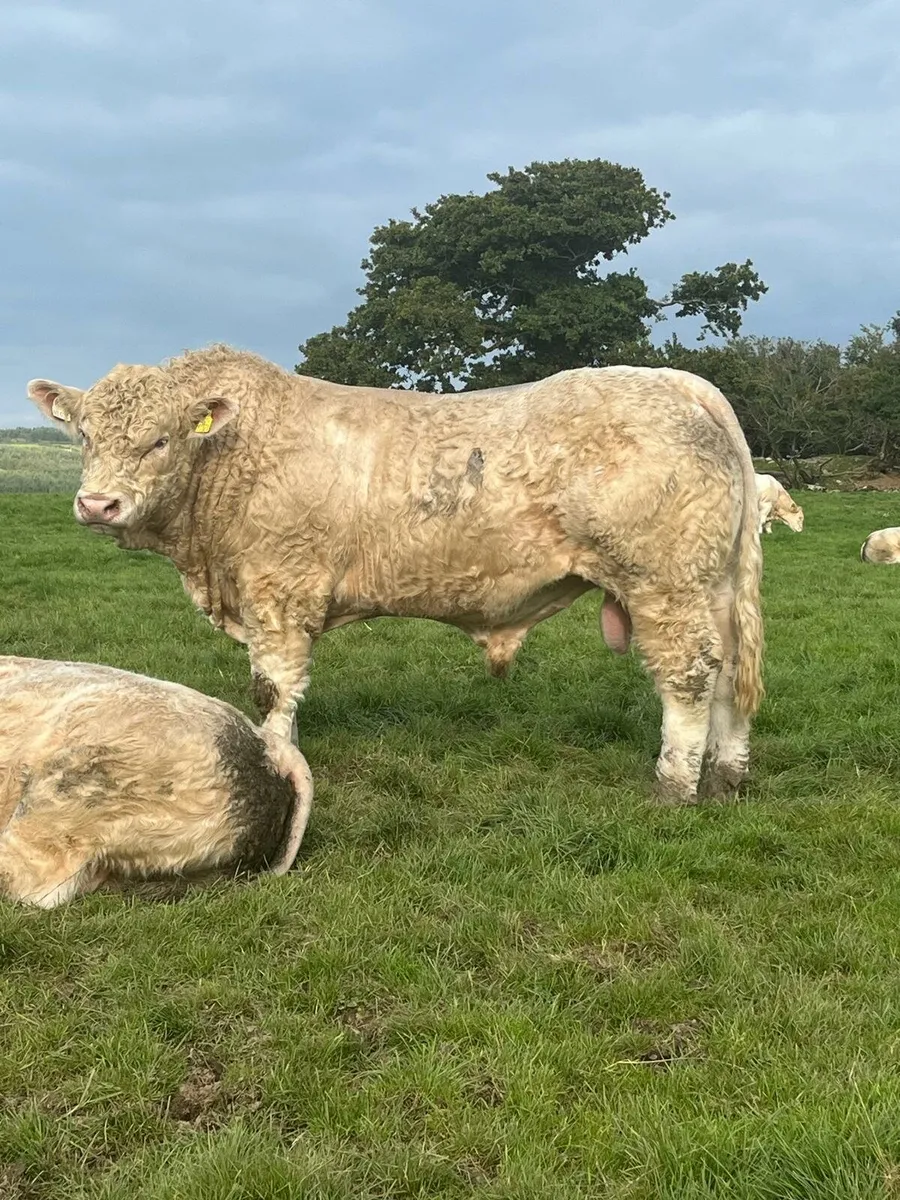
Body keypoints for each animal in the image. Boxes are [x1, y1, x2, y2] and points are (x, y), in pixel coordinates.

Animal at [27, 348, 763, 804]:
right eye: (85, 436)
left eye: (160, 440)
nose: (97, 504)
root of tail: (676, 381)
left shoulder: (278, 588)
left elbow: (273, 689)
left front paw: (277, 766)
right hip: (712, 585)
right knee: (731, 671)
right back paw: (725, 777)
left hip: (664, 582)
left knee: (690, 675)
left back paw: (674, 786)